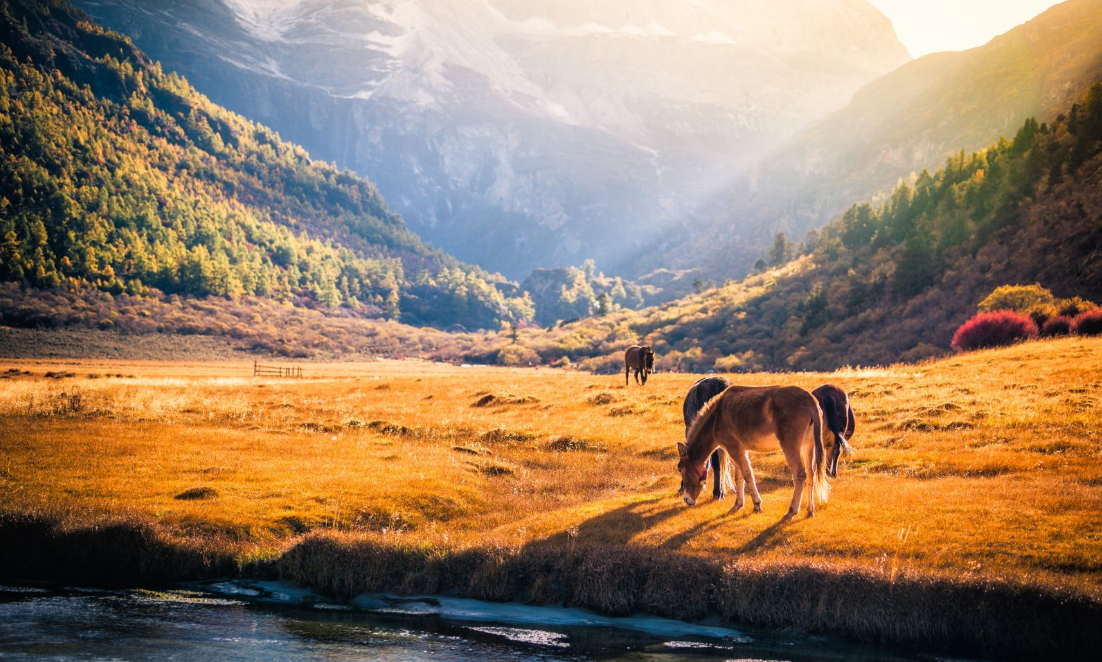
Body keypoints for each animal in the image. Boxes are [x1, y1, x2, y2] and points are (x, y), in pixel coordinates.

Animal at [674, 385, 828, 519]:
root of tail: (808, 398)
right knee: (810, 474)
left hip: (790, 446)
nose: (687, 499)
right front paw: (737, 505)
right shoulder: (739, 450)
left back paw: (792, 511)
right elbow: (739, 478)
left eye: (680, 469)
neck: (716, 417)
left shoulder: (734, 450)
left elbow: (748, 475)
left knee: (800, 475)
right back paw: (810, 510)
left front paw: (757, 505)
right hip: (808, 445)